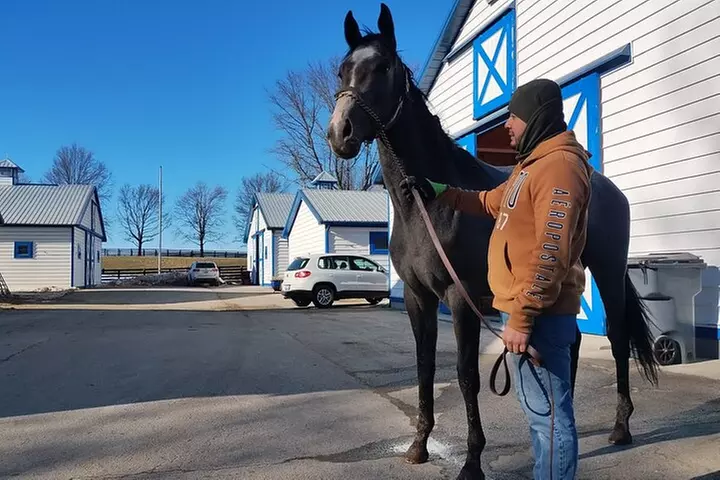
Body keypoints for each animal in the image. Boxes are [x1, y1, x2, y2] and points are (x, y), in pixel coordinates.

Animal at [327, 4, 659, 479]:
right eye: (343, 70)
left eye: (383, 67)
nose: (341, 133)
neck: (423, 208)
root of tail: (608, 186)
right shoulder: (417, 298)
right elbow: (424, 368)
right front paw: (418, 446)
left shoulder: (460, 297)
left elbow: (466, 374)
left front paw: (471, 461)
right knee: (573, 341)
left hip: (609, 271)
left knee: (616, 338)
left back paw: (620, 428)